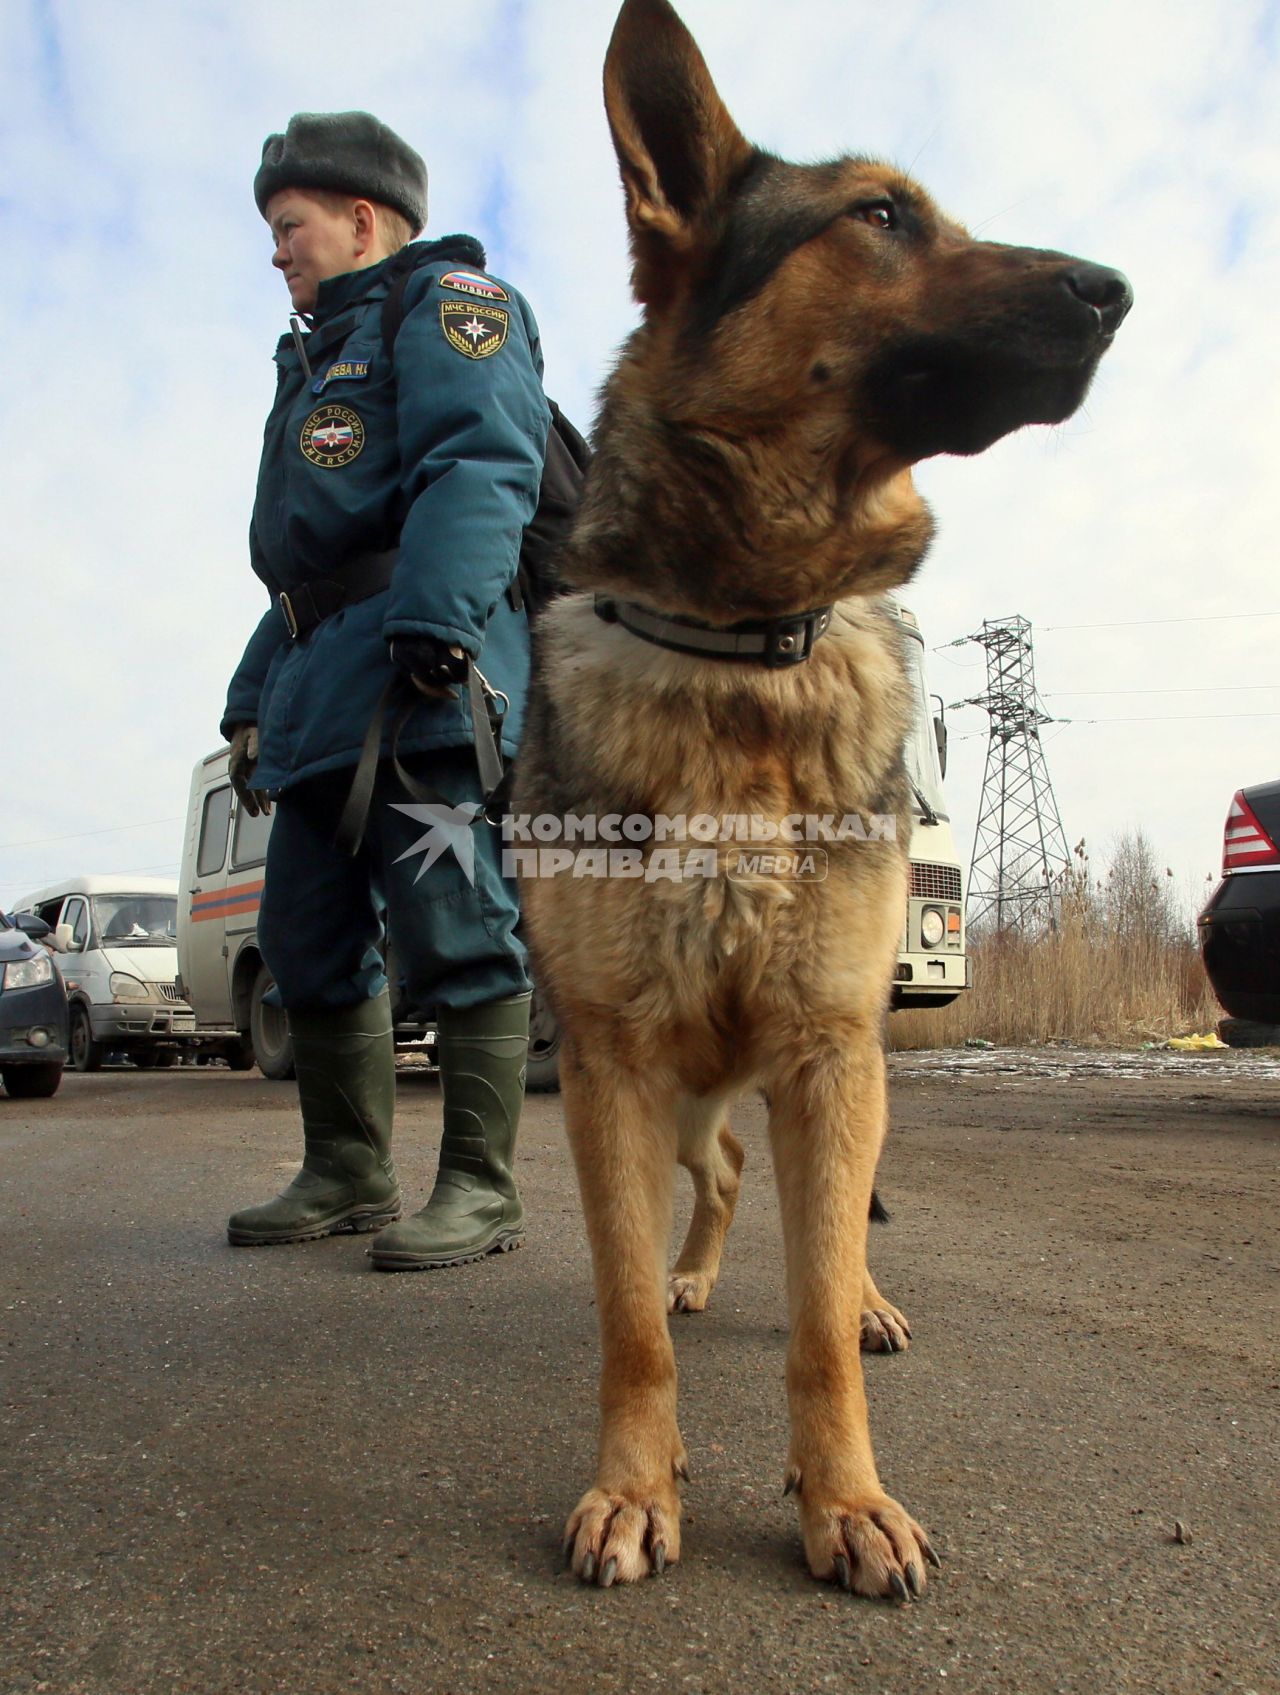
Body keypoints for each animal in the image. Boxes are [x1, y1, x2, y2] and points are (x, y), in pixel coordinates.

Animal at [512, 0, 1132, 1593]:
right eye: (881, 217)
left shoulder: (830, 1049)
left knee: (823, 1225)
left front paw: (842, 1495)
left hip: (840, 1079)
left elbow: (815, 1324)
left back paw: (859, 1296)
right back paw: (695, 1271)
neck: (745, 641)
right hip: (676, 1098)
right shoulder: (611, 1067)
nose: (1115, 289)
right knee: (724, 1175)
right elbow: (622, 1324)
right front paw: (635, 1480)